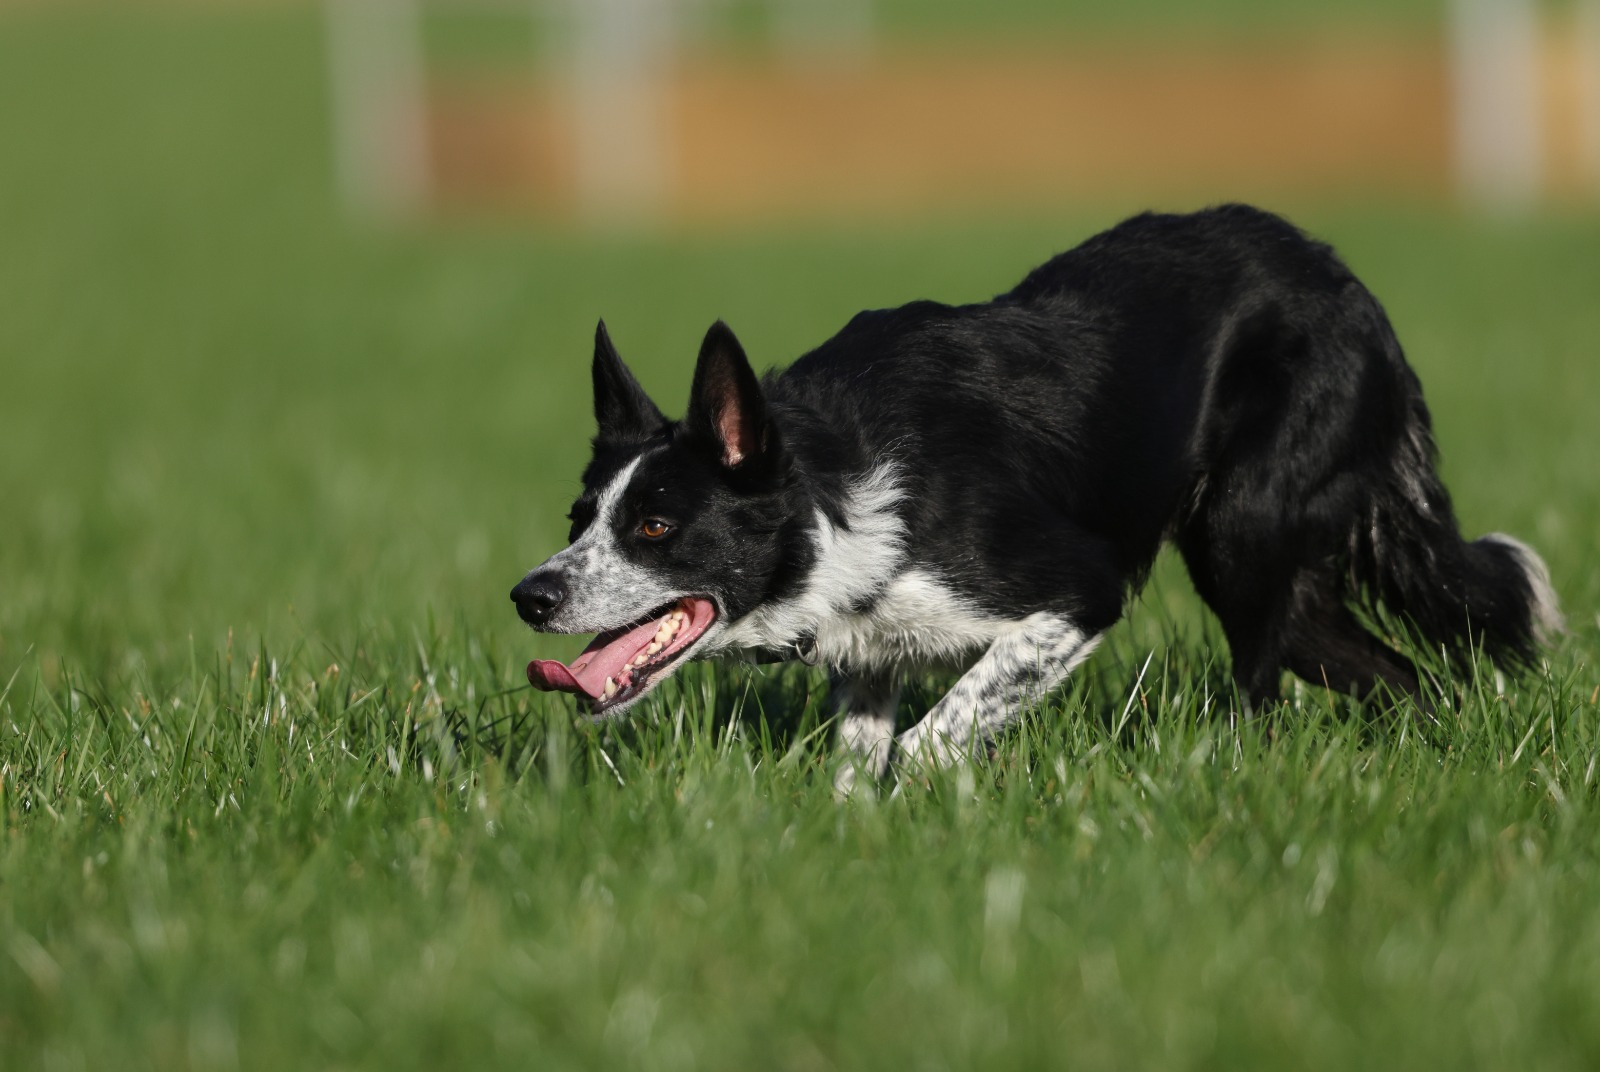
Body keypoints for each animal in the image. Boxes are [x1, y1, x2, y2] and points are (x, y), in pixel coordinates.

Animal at [511, 204, 1562, 792]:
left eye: (656, 526)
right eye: (578, 521)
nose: (531, 595)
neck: (829, 497)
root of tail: (1345, 279)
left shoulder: (1074, 596)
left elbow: (929, 744)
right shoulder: (873, 653)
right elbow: (857, 764)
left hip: (1242, 534)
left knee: (1261, 687)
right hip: (1292, 591)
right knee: (1414, 680)